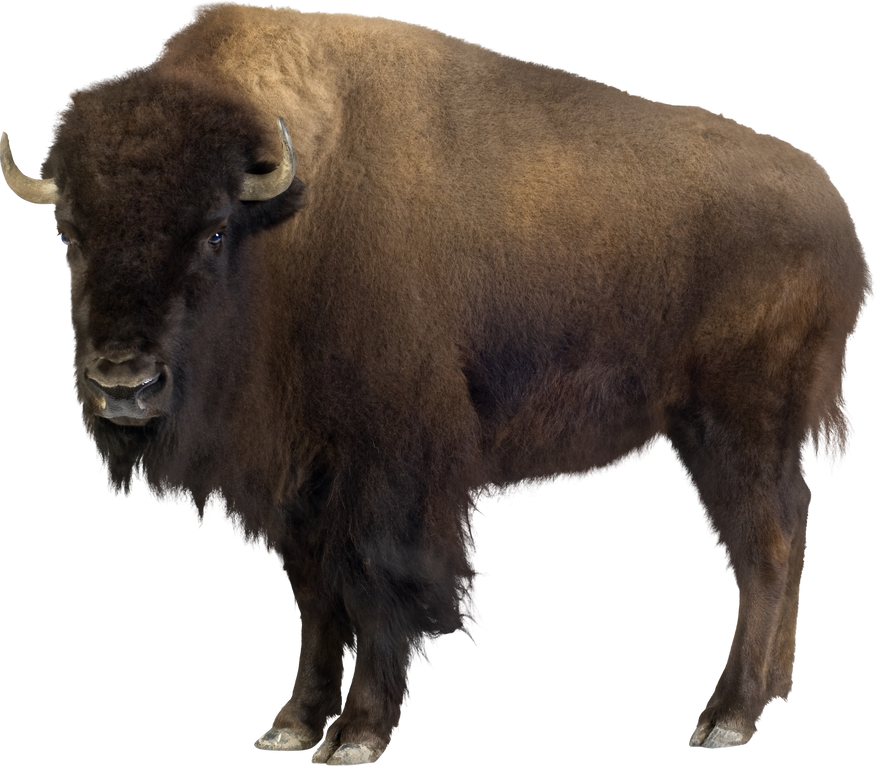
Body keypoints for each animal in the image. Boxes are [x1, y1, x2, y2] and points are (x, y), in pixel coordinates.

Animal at [2, 2, 873, 762]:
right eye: (66, 235)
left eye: (214, 231)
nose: (124, 382)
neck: (288, 222)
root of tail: (831, 209)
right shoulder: (300, 482)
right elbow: (315, 597)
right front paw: (290, 726)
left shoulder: (385, 465)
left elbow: (372, 583)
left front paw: (357, 735)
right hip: (716, 432)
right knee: (788, 539)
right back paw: (764, 700)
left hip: (736, 423)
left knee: (764, 551)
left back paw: (724, 719)